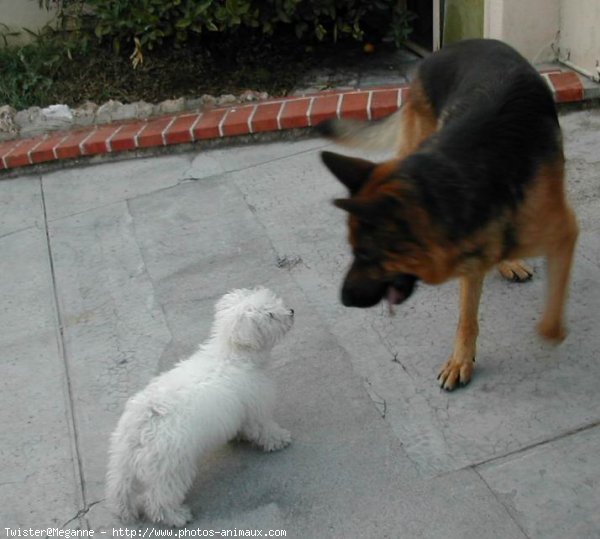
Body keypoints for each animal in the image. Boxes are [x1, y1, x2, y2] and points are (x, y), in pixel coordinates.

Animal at [108, 286, 298, 528]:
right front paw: (279, 439)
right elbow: (264, 428)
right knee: (158, 499)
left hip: (122, 460)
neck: (232, 353)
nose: (291, 311)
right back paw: (176, 516)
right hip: (172, 467)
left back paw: (123, 510)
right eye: (270, 315)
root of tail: (146, 417)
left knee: (120, 487)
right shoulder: (255, 408)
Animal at [318, 39, 576, 392]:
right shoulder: (471, 248)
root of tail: (447, 48)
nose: (342, 300)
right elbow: (467, 317)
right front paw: (461, 360)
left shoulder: (562, 231)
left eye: (367, 255)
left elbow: (551, 316)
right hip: (414, 140)